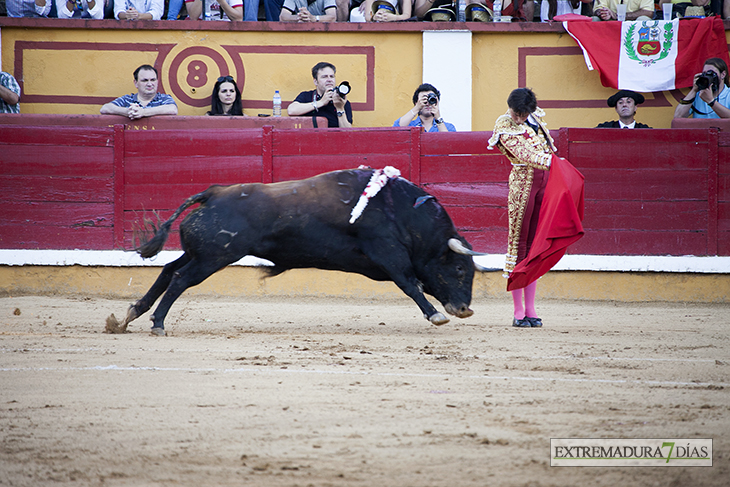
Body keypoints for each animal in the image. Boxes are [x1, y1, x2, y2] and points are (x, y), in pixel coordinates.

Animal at [108, 169, 480, 336]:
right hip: (213, 258)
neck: (402, 211)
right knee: (181, 279)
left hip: (200, 253)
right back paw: (157, 323)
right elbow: (410, 285)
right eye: (460, 269)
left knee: (168, 270)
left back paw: (129, 316)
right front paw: (436, 314)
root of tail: (213, 193)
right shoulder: (389, 254)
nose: (465, 309)